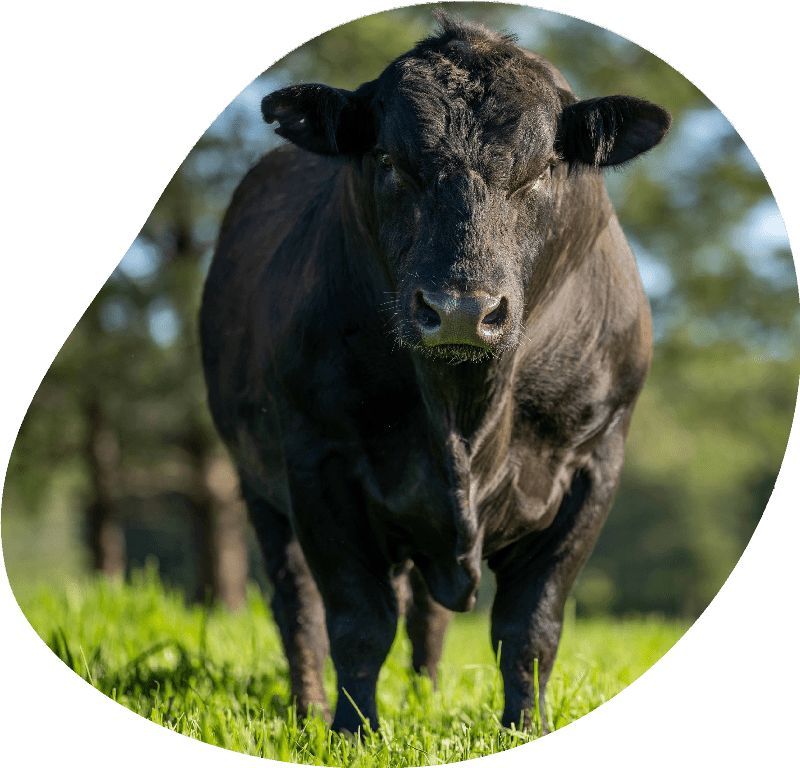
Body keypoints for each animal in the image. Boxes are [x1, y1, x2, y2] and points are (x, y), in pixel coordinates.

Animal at [200, 13, 670, 735]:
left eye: (542, 170)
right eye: (391, 162)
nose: (461, 310)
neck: (466, 415)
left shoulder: (594, 462)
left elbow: (530, 626)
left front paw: (524, 729)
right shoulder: (317, 459)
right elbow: (355, 621)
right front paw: (353, 733)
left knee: (424, 613)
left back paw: (424, 695)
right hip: (258, 487)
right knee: (297, 606)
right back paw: (309, 709)